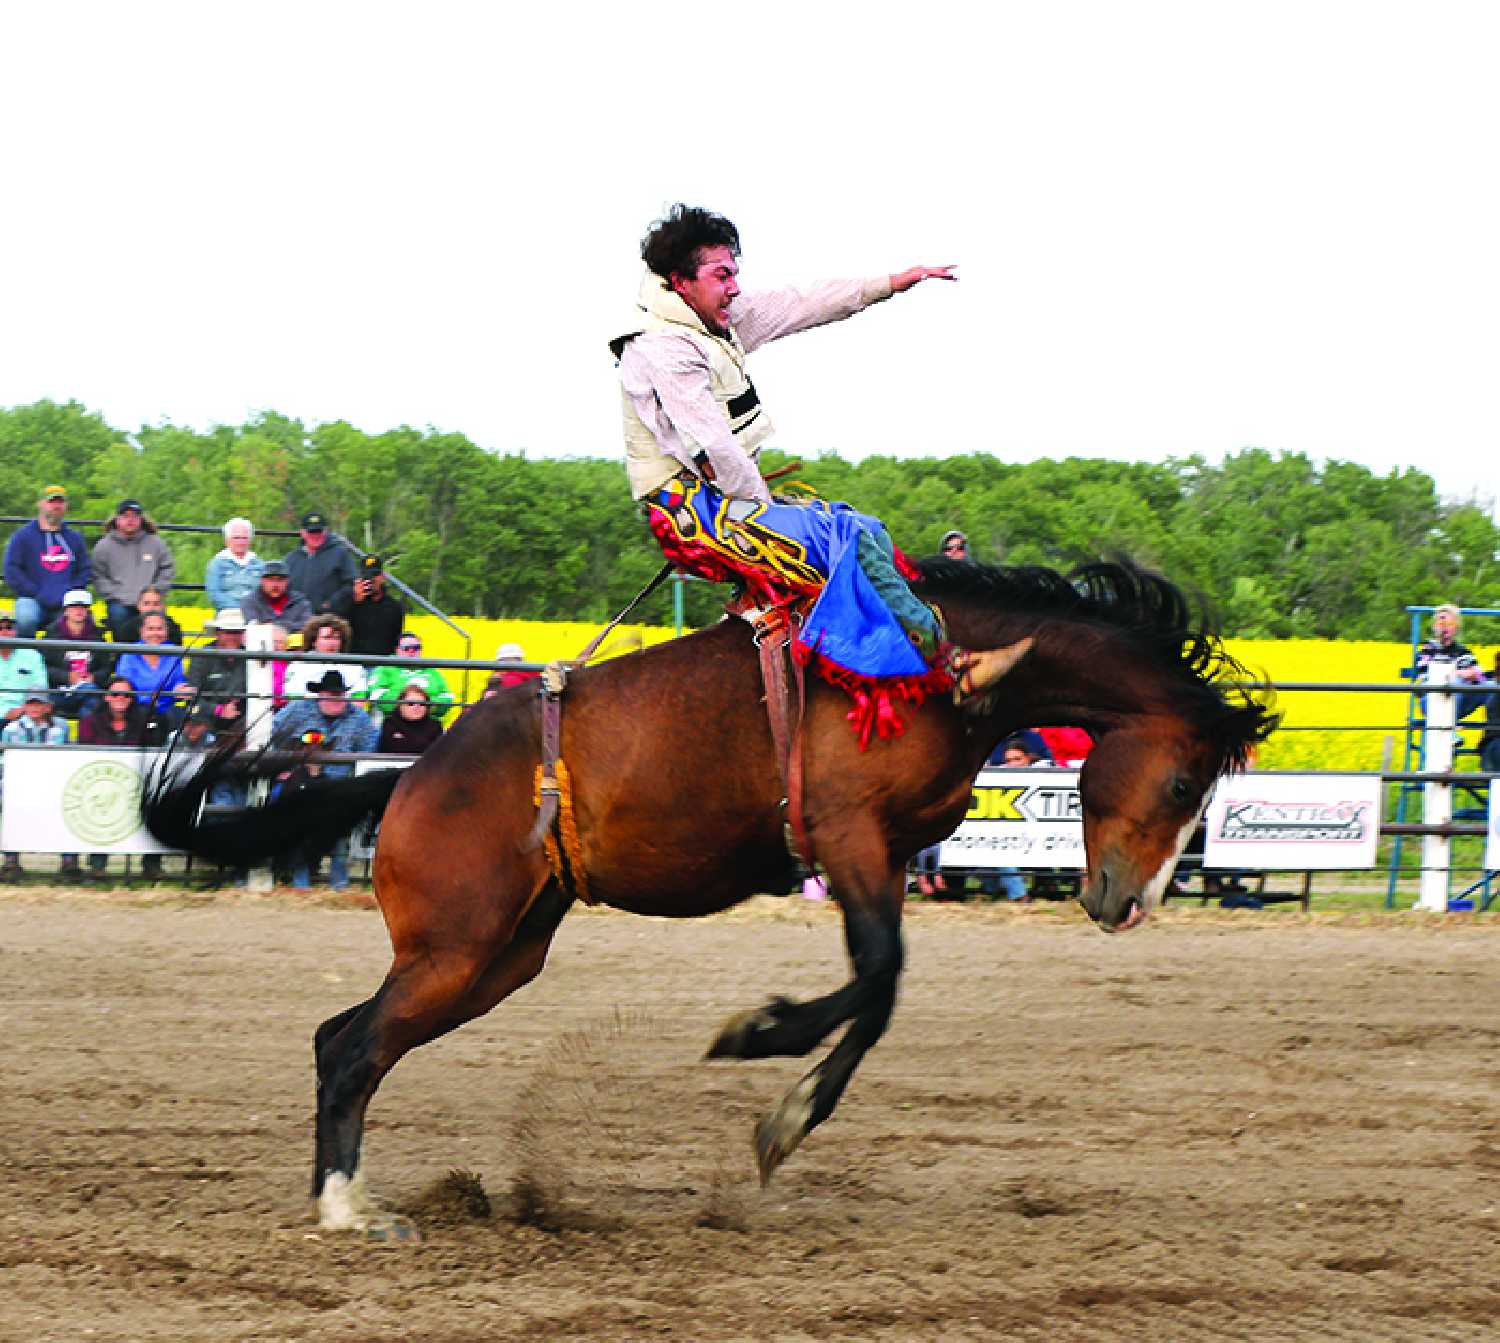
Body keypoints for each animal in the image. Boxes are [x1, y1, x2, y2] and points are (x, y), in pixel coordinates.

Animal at [141, 558, 1272, 1236]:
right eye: (1184, 781)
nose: (1127, 903)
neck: (935, 668)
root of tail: (410, 774)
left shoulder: (884, 853)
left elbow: (879, 990)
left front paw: (785, 1109)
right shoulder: (849, 837)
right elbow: (881, 975)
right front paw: (761, 1042)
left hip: (499, 955)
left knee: (346, 1036)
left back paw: (346, 1195)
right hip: (457, 948)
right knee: (350, 1047)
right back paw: (347, 1211)